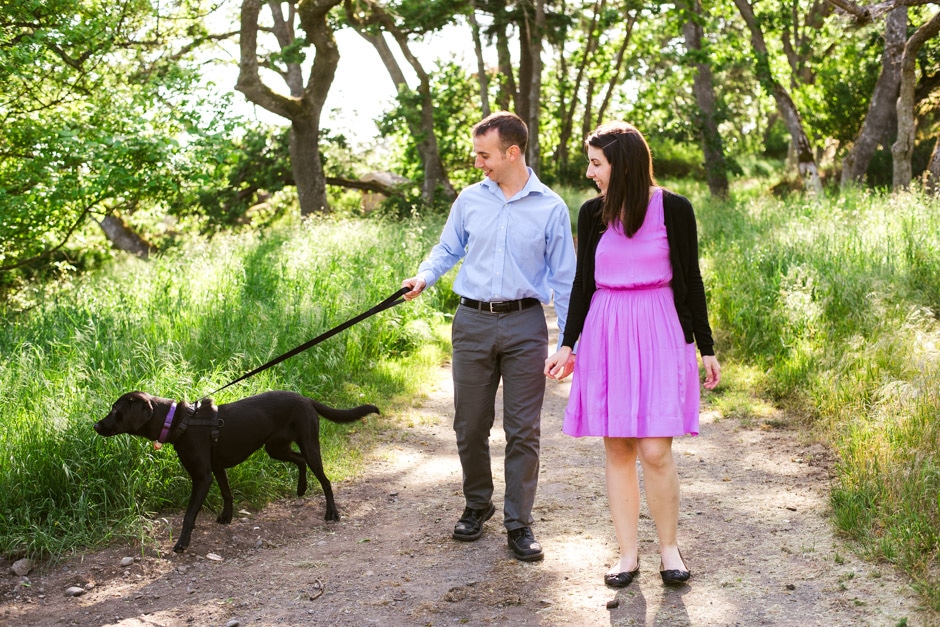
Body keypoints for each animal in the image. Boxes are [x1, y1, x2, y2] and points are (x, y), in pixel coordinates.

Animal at [93, 392, 376, 556]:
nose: (95, 425)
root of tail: (306, 399)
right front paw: (226, 517)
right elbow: (227, 494)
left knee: (325, 479)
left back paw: (332, 512)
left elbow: (188, 516)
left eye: (116, 410)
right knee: (300, 461)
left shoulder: (202, 476)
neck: (179, 421)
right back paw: (301, 488)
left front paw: (182, 544)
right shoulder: (217, 468)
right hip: (275, 448)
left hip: (307, 443)